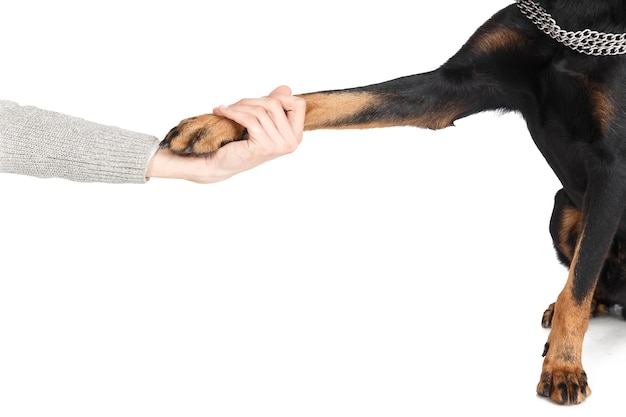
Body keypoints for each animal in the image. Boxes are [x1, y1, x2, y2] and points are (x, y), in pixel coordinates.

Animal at [163, 0, 624, 404]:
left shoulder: (611, 167)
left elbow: (579, 281)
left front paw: (563, 367)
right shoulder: (450, 87)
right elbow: (328, 99)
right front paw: (221, 122)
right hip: (562, 207)